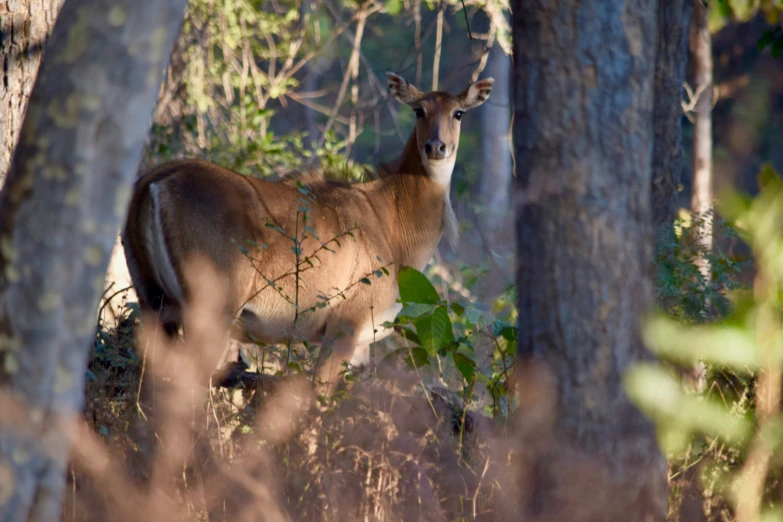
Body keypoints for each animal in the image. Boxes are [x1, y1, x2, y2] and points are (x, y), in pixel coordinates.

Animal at [120, 70, 494, 394]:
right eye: (419, 109)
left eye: (458, 112)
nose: (436, 147)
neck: (392, 222)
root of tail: (153, 184)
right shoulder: (346, 323)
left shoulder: (359, 343)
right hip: (210, 307)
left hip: (153, 298)